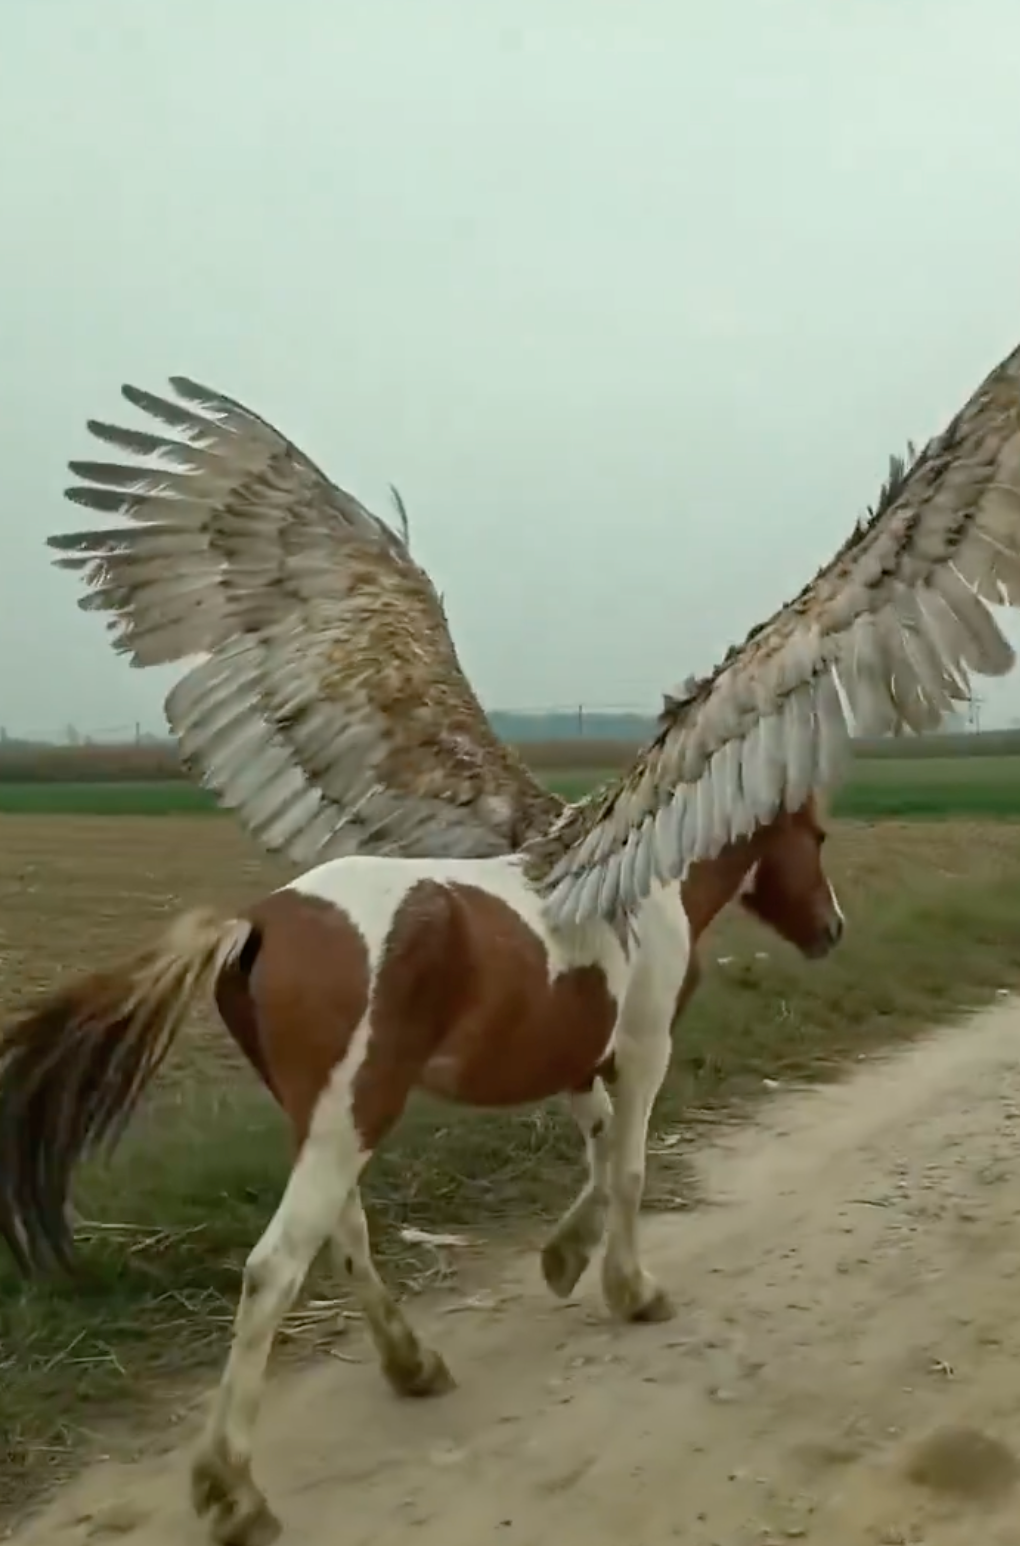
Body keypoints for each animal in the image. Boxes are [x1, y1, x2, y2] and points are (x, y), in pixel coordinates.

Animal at [0, 795, 841, 1546]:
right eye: (818, 834)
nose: (832, 929)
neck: (641, 878)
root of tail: (260, 925)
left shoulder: (579, 1069)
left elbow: (602, 1157)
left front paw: (566, 1258)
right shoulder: (642, 1052)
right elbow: (629, 1169)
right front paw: (633, 1291)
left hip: (327, 1123)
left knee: (344, 1235)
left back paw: (412, 1365)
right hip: (352, 1117)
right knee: (276, 1267)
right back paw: (233, 1493)